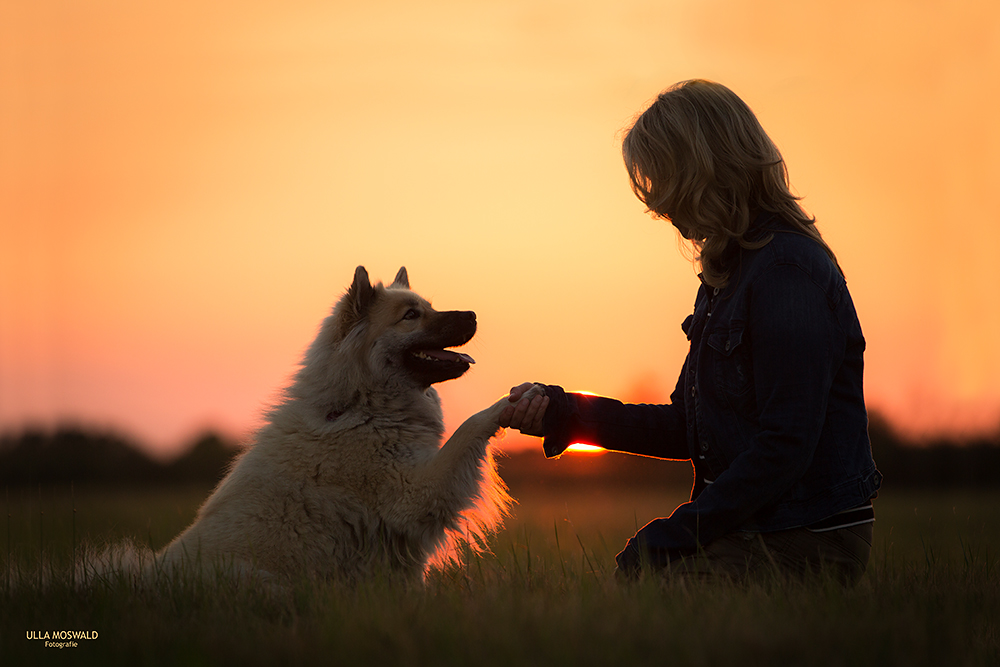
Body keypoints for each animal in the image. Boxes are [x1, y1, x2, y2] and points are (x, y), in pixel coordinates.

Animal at [154, 266, 540, 584]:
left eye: (428, 307)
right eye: (411, 316)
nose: (472, 315)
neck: (360, 406)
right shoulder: (413, 496)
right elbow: (470, 426)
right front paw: (510, 403)